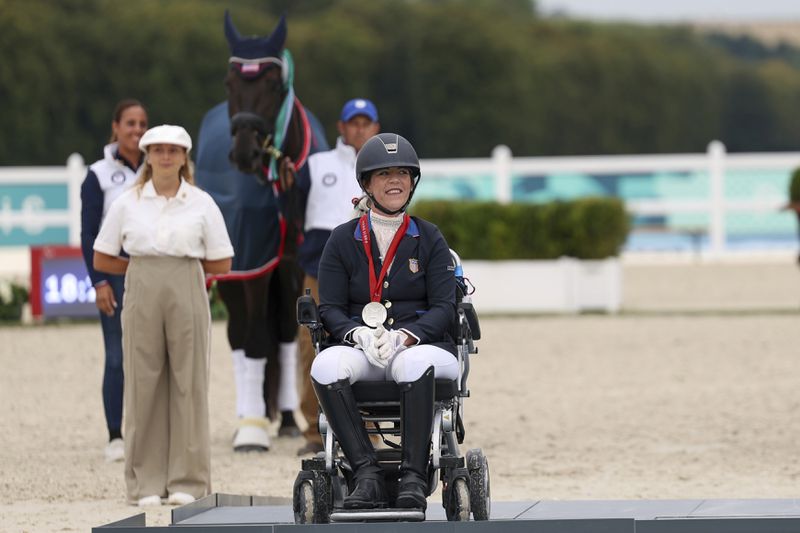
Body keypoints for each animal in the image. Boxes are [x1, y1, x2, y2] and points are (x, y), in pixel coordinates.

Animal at [194, 12, 328, 450]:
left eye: (273, 83)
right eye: (229, 83)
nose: (245, 152)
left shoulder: (293, 264)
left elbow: (290, 333)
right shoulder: (253, 261)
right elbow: (252, 338)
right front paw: (251, 431)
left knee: (282, 333)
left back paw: (285, 419)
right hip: (234, 272)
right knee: (240, 335)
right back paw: (247, 418)